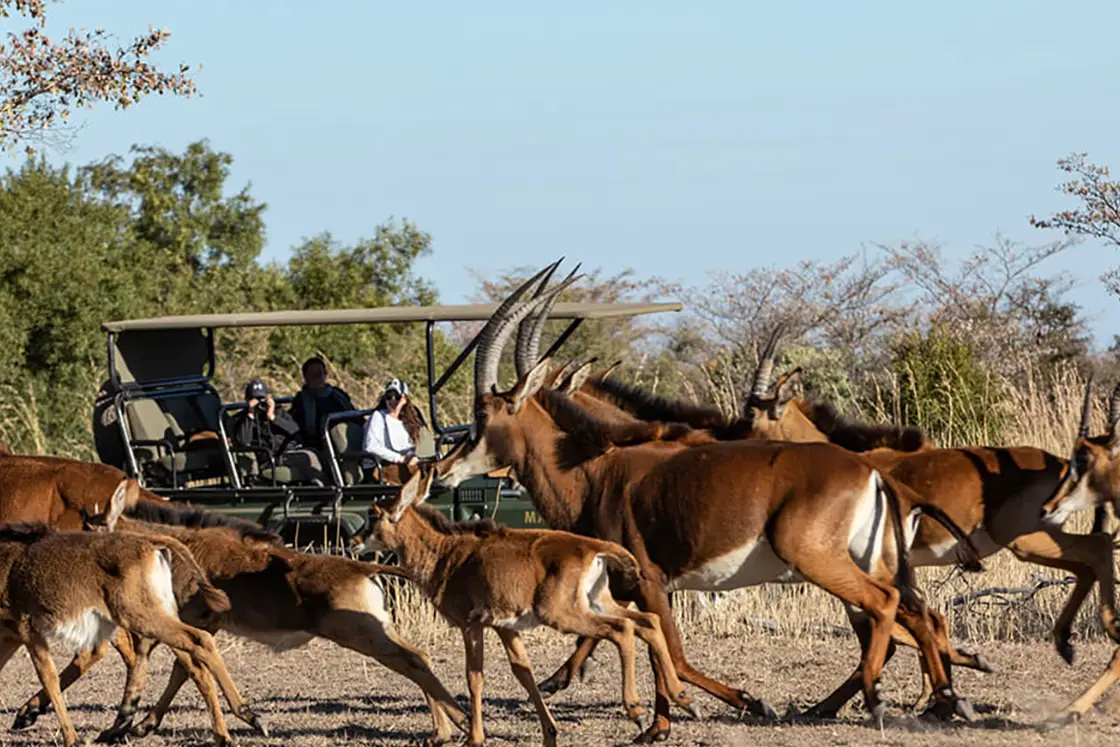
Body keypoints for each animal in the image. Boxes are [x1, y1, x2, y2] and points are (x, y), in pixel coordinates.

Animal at [0, 481, 253, 743]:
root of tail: (152, 544)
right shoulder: (10, 635)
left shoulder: (28, 630)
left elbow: (48, 676)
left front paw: (71, 737)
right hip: (152, 617)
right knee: (190, 660)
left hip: (140, 616)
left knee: (197, 643)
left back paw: (233, 722)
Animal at [21, 492, 470, 743]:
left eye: (92, 532)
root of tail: (365, 567)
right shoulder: (197, 623)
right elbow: (180, 669)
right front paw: (134, 723)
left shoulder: (192, 620)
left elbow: (182, 665)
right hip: (372, 630)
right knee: (418, 658)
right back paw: (444, 728)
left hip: (361, 633)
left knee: (413, 660)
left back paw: (456, 723)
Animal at [353, 468, 694, 747]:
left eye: (373, 514)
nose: (354, 541)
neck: (446, 554)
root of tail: (593, 548)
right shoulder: (505, 626)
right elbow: (524, 673)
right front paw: (550, 733)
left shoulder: (470, 623)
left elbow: (474, 677)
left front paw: (475, 738)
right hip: (597, 602)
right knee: (648, 620)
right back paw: (683, 696)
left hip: (562, 614)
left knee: (622, 629)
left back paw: (636, 708)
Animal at [427, 263, 981, 743]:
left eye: (483, 416)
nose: (442, 469)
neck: (592, 468)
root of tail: (872, 472)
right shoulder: (637, 588)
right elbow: (655, 646)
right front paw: (659, 724)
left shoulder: (648, 581)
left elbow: (672, 654)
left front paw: (730, 705)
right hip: (872, 560)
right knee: (918, 611)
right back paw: (947, 698)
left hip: (816, 559)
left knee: (886, 607)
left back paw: (881, 699)